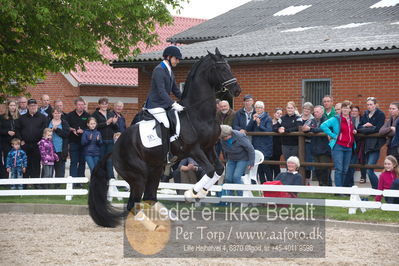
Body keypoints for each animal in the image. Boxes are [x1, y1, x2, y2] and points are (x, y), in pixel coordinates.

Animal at [89, 47, 242, 227]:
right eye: (222, 69)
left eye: (229, 66)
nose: (237, 90)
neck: (198, 114)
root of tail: (115, 148)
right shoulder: (194, 150)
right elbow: (210, 170)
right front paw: (191, 193)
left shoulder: (209, 147)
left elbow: (218, 169)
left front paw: (200, 193)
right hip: (138, 176)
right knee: (133, 204)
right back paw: (151, 225)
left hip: (155, 170)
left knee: (149, 198)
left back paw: (168, 219)